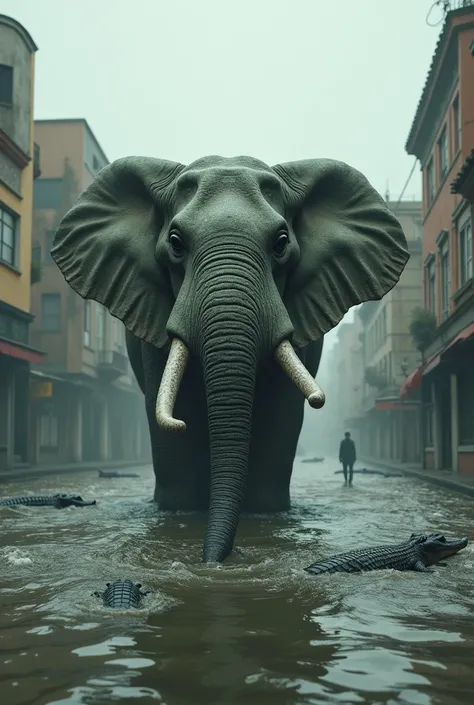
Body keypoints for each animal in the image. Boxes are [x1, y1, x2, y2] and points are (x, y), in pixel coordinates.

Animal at [50, 154, 410, 560]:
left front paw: (266, 515)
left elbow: (280, 416)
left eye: (281, 242)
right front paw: (179, 511)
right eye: (175, 242)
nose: (211, 561)